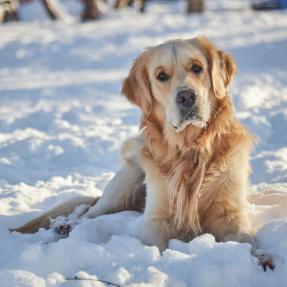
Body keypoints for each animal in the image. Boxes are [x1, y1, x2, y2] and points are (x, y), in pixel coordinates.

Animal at [13, 36, 258, 256]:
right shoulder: (156, 218)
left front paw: (263, 259)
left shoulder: (231, 214)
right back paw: (64, 225)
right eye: (161, 76)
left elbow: (247, 240)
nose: (187, 97)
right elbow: (153, 244)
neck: (190, 149)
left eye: (197, 67)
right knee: (86, 213)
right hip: (125, 183)